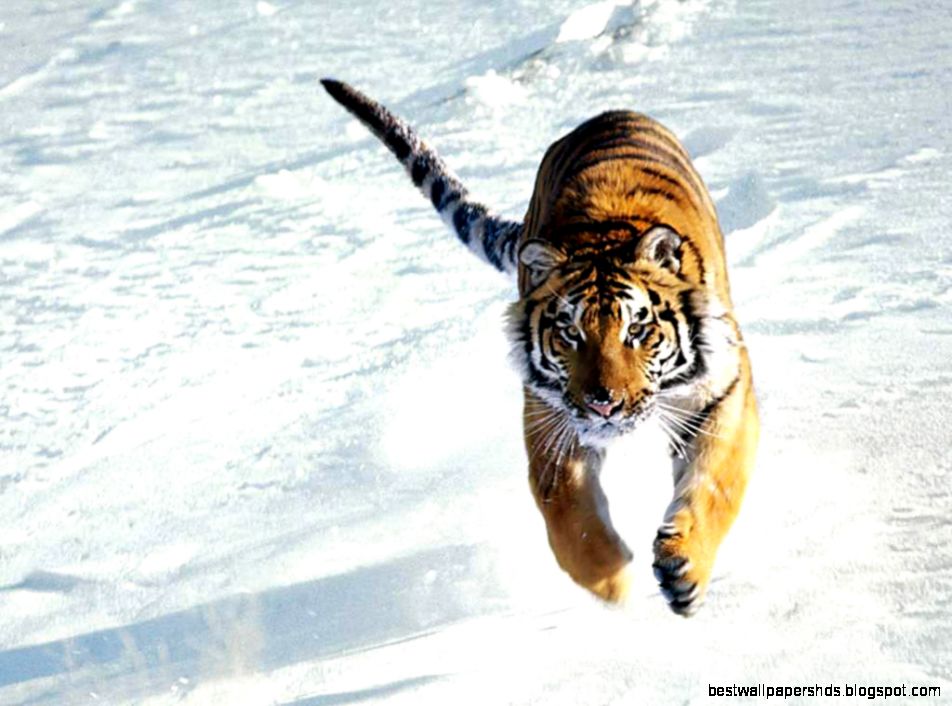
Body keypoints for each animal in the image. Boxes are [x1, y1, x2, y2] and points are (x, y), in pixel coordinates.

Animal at [321, 78, 759, 617]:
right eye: (570, 333)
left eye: (637, 330)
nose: (604, 404)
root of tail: (607, 113)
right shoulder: (550, 417)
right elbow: (568, 516)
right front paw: (612, 582)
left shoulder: (723, 392)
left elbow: (715, 485)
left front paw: (684, 570)